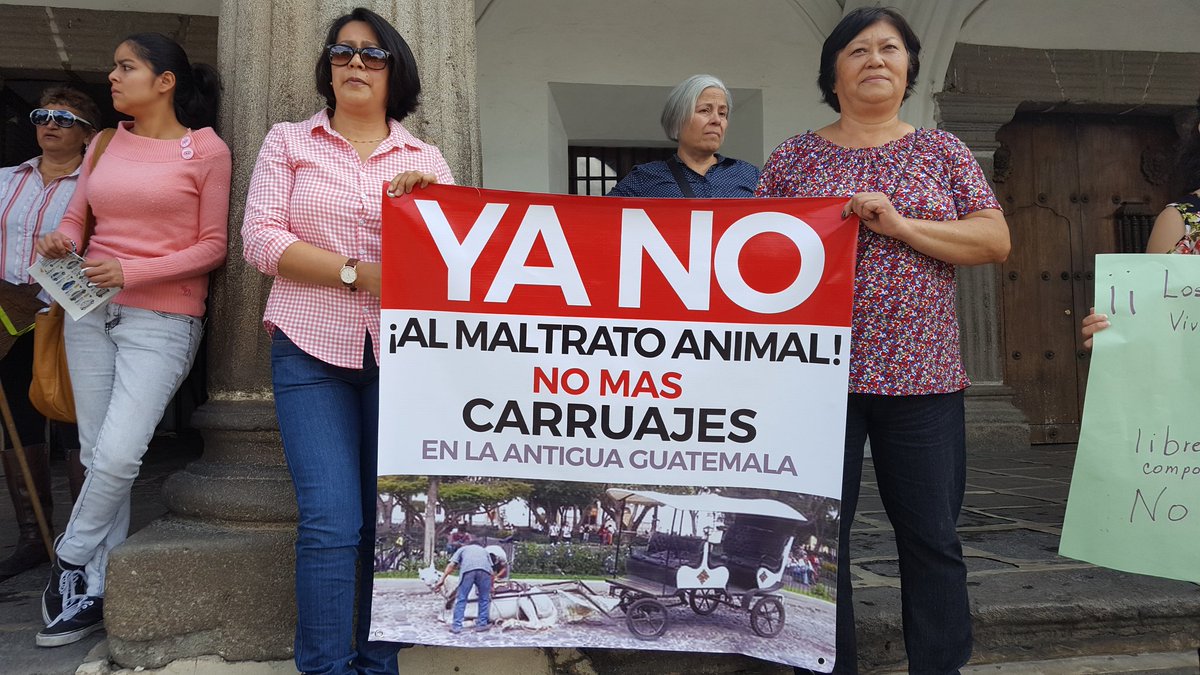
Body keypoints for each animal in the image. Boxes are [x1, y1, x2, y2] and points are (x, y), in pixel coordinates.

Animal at [417, 562, 619, 629]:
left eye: (435, 574)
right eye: (422, 576)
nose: (431, 585)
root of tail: (550, 602)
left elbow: (450, 620)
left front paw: (472, 623)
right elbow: (442, 617)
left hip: (525, 600)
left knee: (535, 623)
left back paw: (509, 623)